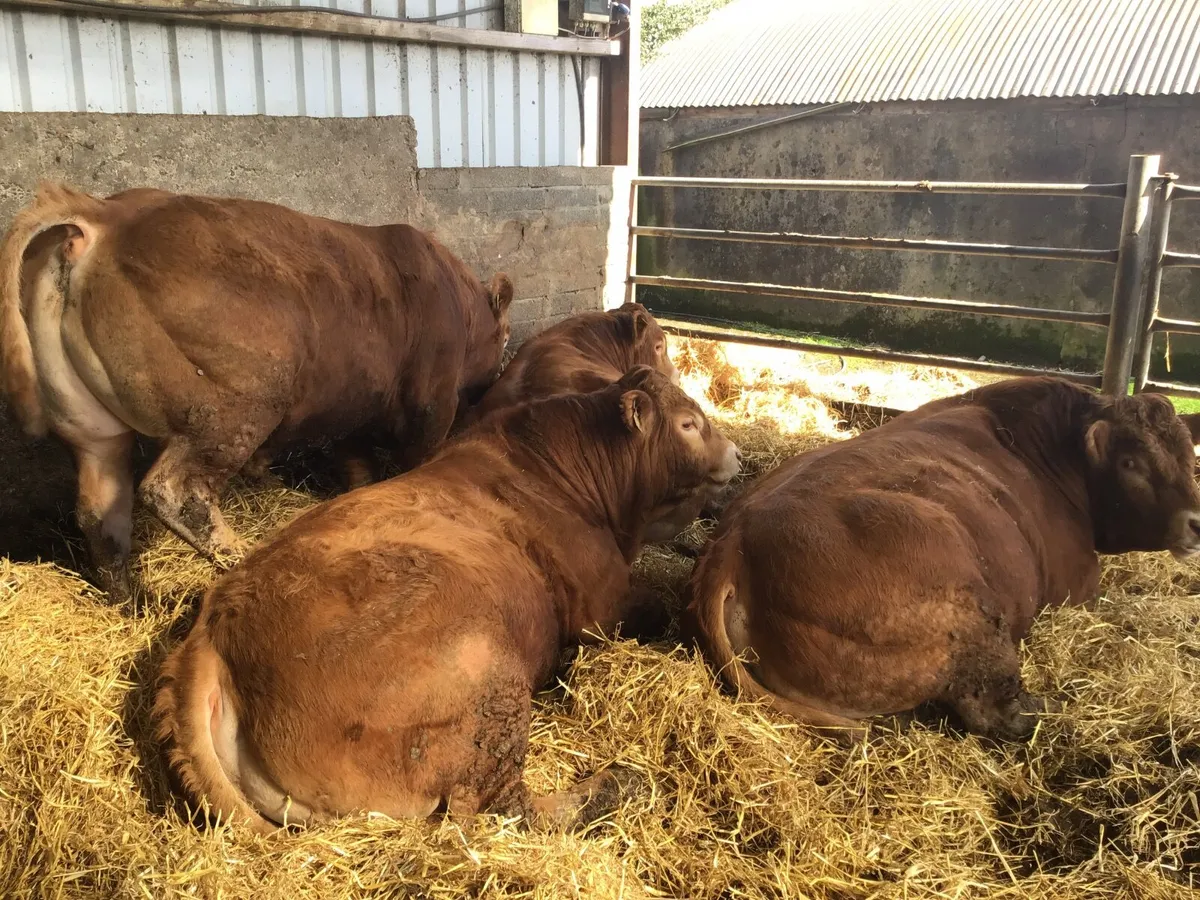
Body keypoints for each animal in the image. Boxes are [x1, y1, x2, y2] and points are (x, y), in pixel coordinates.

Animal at [0, 183, 513, 599]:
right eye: (506, 337)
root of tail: (106, 214)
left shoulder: (354, 412)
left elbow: (358, 469)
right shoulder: (431, 402)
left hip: (92, 432)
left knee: (100, 515)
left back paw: (128, 605)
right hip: (235, 406)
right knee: (176, 490)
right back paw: (239, 556)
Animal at [153, 366, 741, 832]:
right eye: (688, 424)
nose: (736, 454)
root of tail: (217, 622)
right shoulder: (603, 604)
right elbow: (656, 605)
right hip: (485, 679)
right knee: (506, 807)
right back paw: (621, 784)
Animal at [685, 377, 1200, 741]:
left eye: (1189, 457)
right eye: (1131, 463)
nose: (1196, 521)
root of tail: (734, 544)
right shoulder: (1079, 583)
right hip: (969, 614)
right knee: (993, 709)